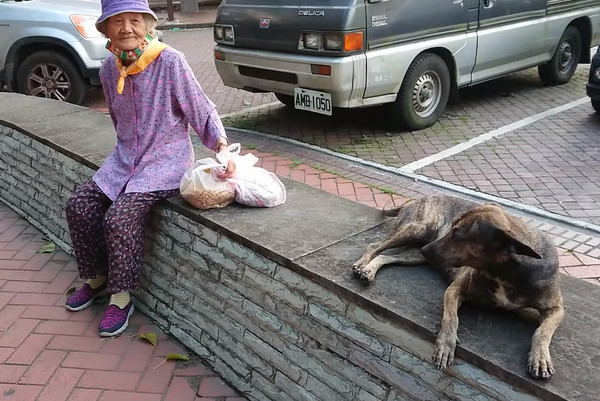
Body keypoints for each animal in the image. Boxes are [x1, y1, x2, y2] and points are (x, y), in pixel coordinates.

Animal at [352, 194, 564, 378]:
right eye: (452, 228)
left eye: (458, 235)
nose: (426, 249)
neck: (506, 271)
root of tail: (418, 199)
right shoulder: (455, 290)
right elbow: (451, 318)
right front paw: (446, 344)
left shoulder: (556, 308)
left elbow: (542, 332)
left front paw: (540, 358)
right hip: (419, 229)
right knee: (375, 246)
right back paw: (362, 265)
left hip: (414, 254)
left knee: (386, 255)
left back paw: (369, 270)